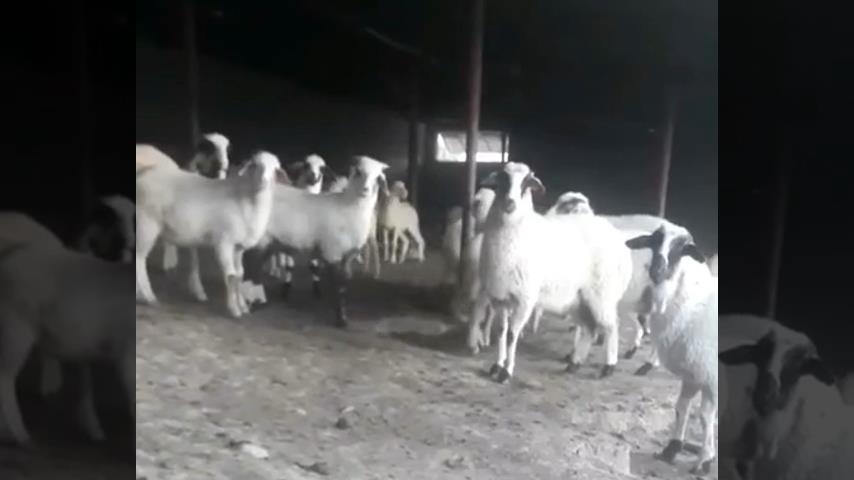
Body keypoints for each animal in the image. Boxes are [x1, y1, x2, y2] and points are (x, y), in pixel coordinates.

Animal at [0, 240, 135, 447]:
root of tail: (10, 255)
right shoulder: (127, 354)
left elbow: (87, 385)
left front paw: (93, 429)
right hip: (16, 326)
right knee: (5, 377)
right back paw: (19, 435)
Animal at [136, 150, 287, 318]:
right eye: (255, 165)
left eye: (275, 169)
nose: (263, 181)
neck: (247, 200)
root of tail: (143, 174)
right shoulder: (224, 242)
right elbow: (230, 276)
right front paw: (234, 309)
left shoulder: (238, 247)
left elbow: (239, 275)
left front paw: (242, 307)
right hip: (147, 223)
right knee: (139, 259)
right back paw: (148, 296)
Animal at [247, 155, 390, 327]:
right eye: (358, 172)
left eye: (378, 178)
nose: (366, 190)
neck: (348, 207)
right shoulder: (333, 251)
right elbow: (338, 286)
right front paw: (340, 320)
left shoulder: (348, 256)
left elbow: (344, 285)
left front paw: (343, 316)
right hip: (259, 238)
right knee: (251, 267)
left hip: (269, 240)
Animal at [470, 162, 632, 382]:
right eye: (502, 180)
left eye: (527, 183)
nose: (510, 204)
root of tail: (618, 239)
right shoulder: (500, 299)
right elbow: (502, 332)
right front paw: (497, 365)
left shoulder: (525, 299)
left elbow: (512, 334)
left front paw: (506, 371)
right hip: (580, 299)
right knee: (589, 329)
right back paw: (574, 363)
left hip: (602, 294)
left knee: (611, 326)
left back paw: (609, 366)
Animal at [624, 223, 718, 474]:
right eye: (654, 241)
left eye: (682, 249)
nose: (656, 270)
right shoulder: (693, 373)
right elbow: (681, 408)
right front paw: (673, 448)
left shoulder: (711, 376)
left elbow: (705, 417)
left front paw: (705, 460)